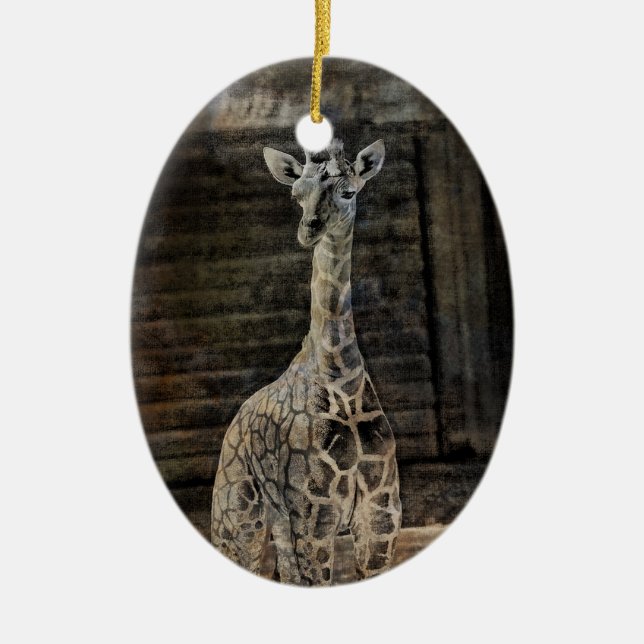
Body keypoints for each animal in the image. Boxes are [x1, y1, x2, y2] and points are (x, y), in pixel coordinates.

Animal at [211, 139, 401, 585]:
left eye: (348, 191)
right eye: (296, 195)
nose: (308, 229)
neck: (342, 379)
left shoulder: (381, 515)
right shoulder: (316, 516)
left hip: (280, 522)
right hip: (239, 515)